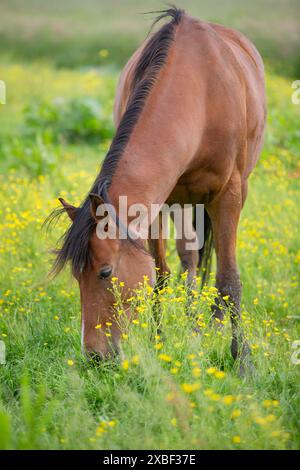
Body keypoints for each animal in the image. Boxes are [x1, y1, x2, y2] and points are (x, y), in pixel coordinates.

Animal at [48, 5, 266, 370]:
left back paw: (212, 323)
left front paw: (242, 361)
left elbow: (229, 278)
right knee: (189, 258)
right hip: (183, 202)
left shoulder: (229, 195)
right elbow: (160, 276)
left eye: (105, 273)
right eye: (76, 277)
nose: (94, 357)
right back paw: (194, 328)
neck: (200, 94)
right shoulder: (157, 203)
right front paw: (159, 341)